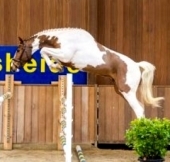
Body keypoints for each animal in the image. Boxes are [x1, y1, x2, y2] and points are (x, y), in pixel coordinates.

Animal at [9, 27, 164, 118]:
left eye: (18, 49)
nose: (13, 66)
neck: (62, 39)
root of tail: (136, 65)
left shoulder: (66, 55)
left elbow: (43, 51)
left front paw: (55, 66)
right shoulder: (62, 56)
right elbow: (47, 53)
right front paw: (57, 66)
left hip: (127, 91)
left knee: (138, 110)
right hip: (121, 91)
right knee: (141, 108)